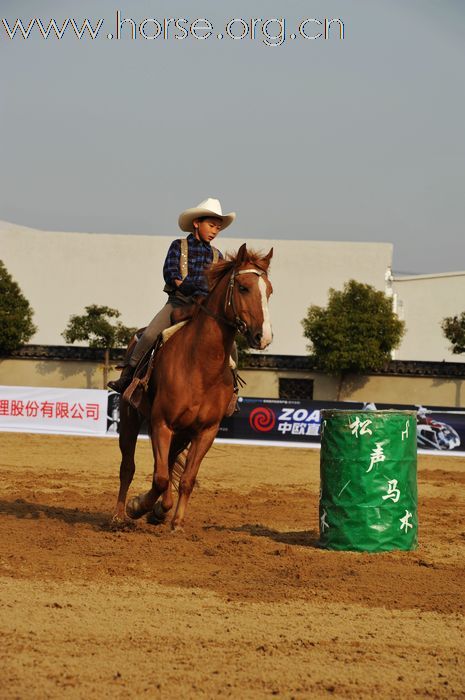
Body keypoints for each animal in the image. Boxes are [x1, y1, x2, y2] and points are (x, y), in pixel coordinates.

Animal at [112, 245, 272, 532]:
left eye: (270, 290)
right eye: (243, 287)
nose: (263, 336)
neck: (200, 365)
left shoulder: (205, 431)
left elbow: (185, 478)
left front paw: (174, 521)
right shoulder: (161, 423)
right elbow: (160, 478)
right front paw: (137, 506)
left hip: (181, 433)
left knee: (167, 463)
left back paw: (159, 511)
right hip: (131, 418)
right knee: (128, 466)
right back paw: (119, 515)